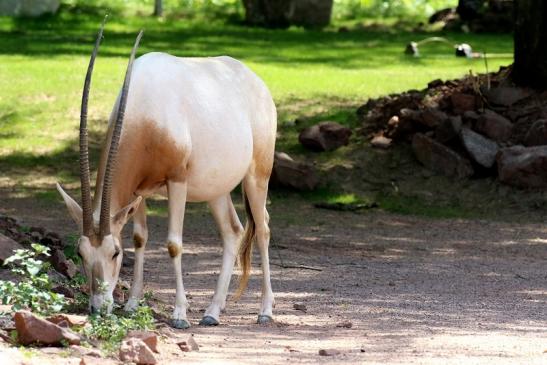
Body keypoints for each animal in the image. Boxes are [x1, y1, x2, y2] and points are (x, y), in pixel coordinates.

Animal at [56, 22, 278, 328]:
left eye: (115, 252)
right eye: (81, 253)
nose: (99, 308)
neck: (145, 109)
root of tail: (256, 81)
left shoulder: (177, 181)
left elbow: (174, 244)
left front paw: (180, 314)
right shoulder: (138, 191)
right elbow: (140, 238)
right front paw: (132, 305)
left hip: (257, 175)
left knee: (263, 228)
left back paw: (265, 310)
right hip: (216, 189)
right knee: (233, 231)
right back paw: (212, 311)